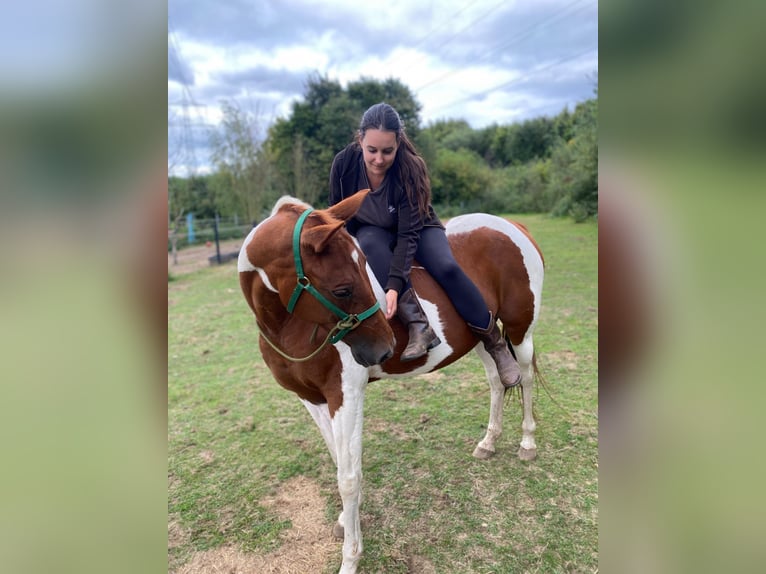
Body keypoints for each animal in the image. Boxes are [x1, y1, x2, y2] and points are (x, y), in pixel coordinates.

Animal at [238, 190, 545, 574]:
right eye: (343, 289)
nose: (384, 348)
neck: (288, 325)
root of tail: (513, 226)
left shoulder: (346, 395)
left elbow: (349, 478)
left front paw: (351, 557)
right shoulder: (312, 399)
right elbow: (339, 462)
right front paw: (346, 521)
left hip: (521, 330)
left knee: (526, 379)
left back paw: (528, 443)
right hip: (482, 339)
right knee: (497, 380)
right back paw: (489, 442)